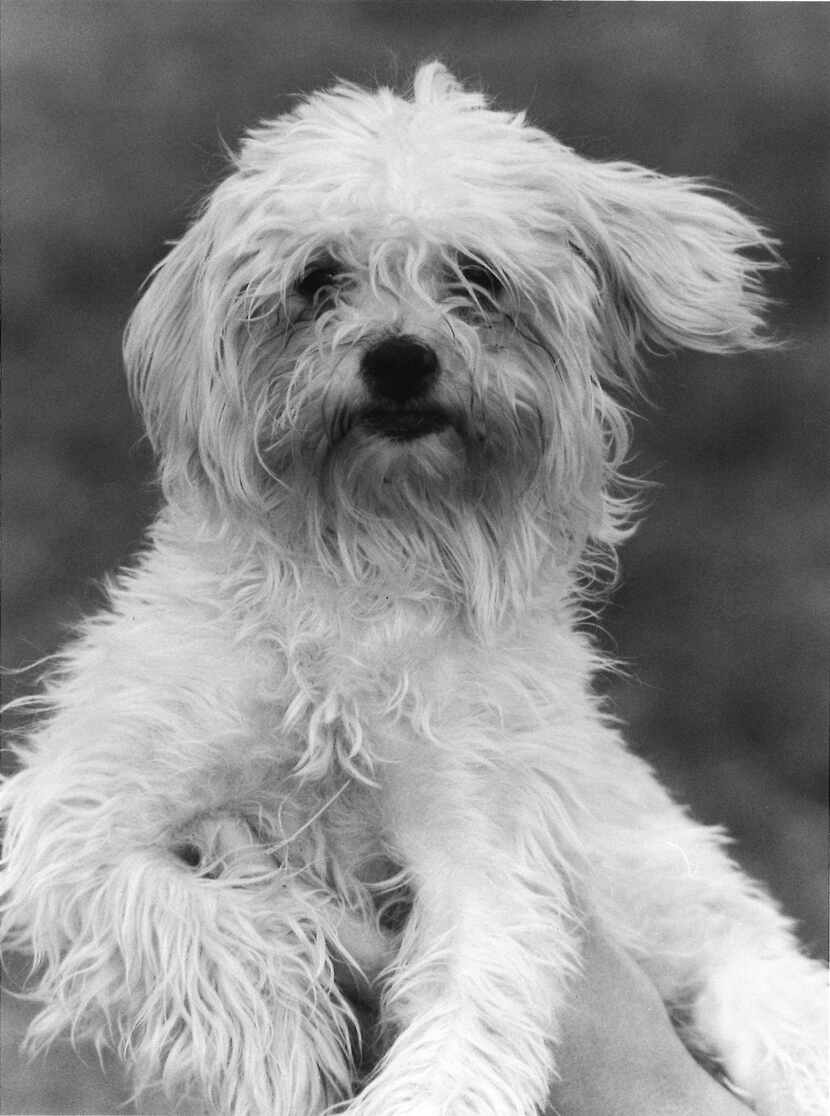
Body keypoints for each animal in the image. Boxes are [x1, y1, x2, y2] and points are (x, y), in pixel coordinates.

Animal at [1, 63, 830, 1116]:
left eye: (478, 278)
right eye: (318, 280)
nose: (401, 356)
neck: (374, 556)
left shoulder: (486, 853)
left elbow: (470, 1022)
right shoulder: (76, 811)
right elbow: (190, 917)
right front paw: (276, 1047)